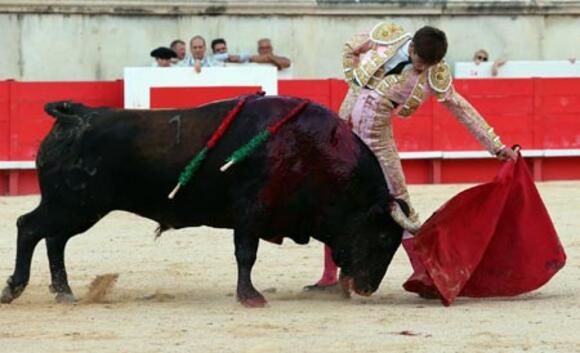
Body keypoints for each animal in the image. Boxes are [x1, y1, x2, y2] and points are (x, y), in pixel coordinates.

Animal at [1, 95, 408, 306]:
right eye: (384, 237)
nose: (367, 288)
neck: (311, 152)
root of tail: (76, 115)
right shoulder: (249, 214)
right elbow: (246, 254)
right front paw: (250, 297)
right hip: (72, 205)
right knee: (29, 227)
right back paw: (15, 288)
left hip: (77, 209)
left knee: (54, 239)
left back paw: (64, 292)